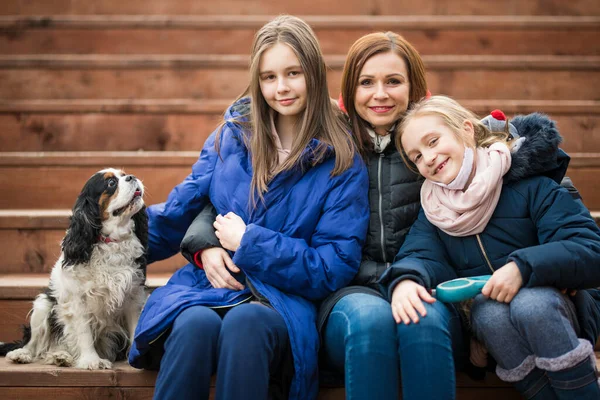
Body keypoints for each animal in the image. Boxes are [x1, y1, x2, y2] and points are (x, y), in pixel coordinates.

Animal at [0, 168, 149, 368]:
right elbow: (84, 333)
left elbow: (135, 327)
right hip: (43, 304)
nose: (132, 177)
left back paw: (60, 357)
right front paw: (92, 361)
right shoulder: (77, 300)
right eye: (111, 183)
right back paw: (24, 354)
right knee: (34, 343)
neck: (111, 242)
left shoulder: (134, 296)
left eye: (124, 174)